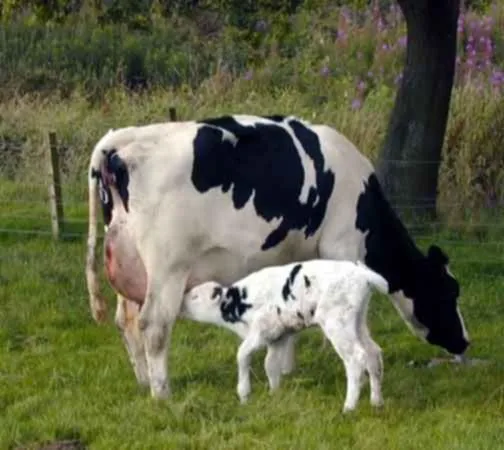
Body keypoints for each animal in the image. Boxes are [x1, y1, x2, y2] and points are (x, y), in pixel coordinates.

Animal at [181, 260, 390, 412]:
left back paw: (349, 407)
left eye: (195, 297)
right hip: (357, 321)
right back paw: (376, 401)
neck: (238, 303)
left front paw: (244, 394)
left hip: (337, 323)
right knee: (373, 352)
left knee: (356, 358)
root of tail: (362, 273)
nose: (181, 304)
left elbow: (242, 355)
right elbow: (270, 365)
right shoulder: (278, 335)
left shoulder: (261, 330)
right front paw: (274, 394)